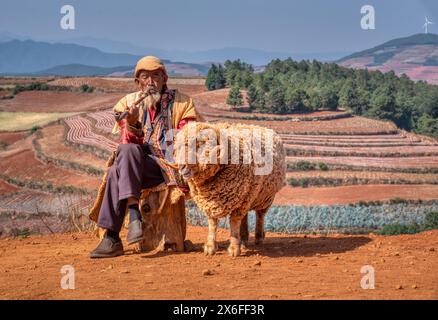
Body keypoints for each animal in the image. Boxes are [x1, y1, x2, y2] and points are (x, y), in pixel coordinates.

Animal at [175, 121, 288, 256]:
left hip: (263, 196)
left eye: (198, 145)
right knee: (245, 216)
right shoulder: (209, 201)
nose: (181, 167)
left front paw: (234, 248)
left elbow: (234, 222)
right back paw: (243, 239)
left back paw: (258, 237)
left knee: (260, 214)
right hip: (247, 195)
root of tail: (262, 127)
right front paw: (210, 246)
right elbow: (212, 223)